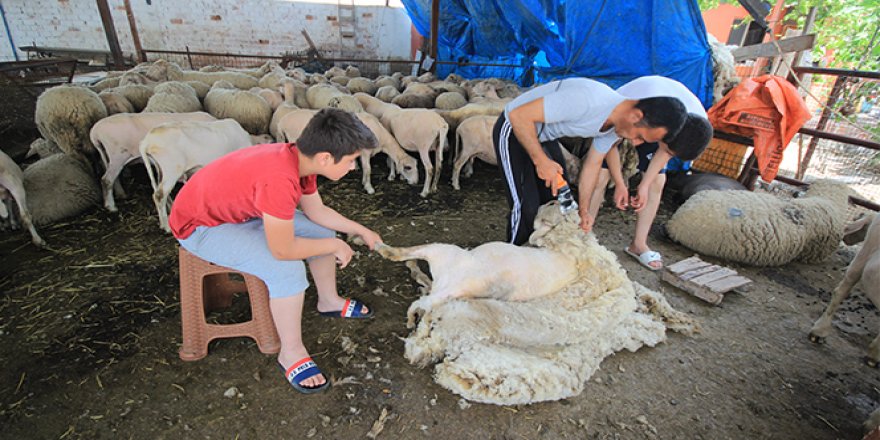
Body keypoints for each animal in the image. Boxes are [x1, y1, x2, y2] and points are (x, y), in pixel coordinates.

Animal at [376, 203, 696, 406]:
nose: (552, 198)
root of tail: (449, 278)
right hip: (441, 260)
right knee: (404, 263)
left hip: (445, 265)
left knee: (416, 289)